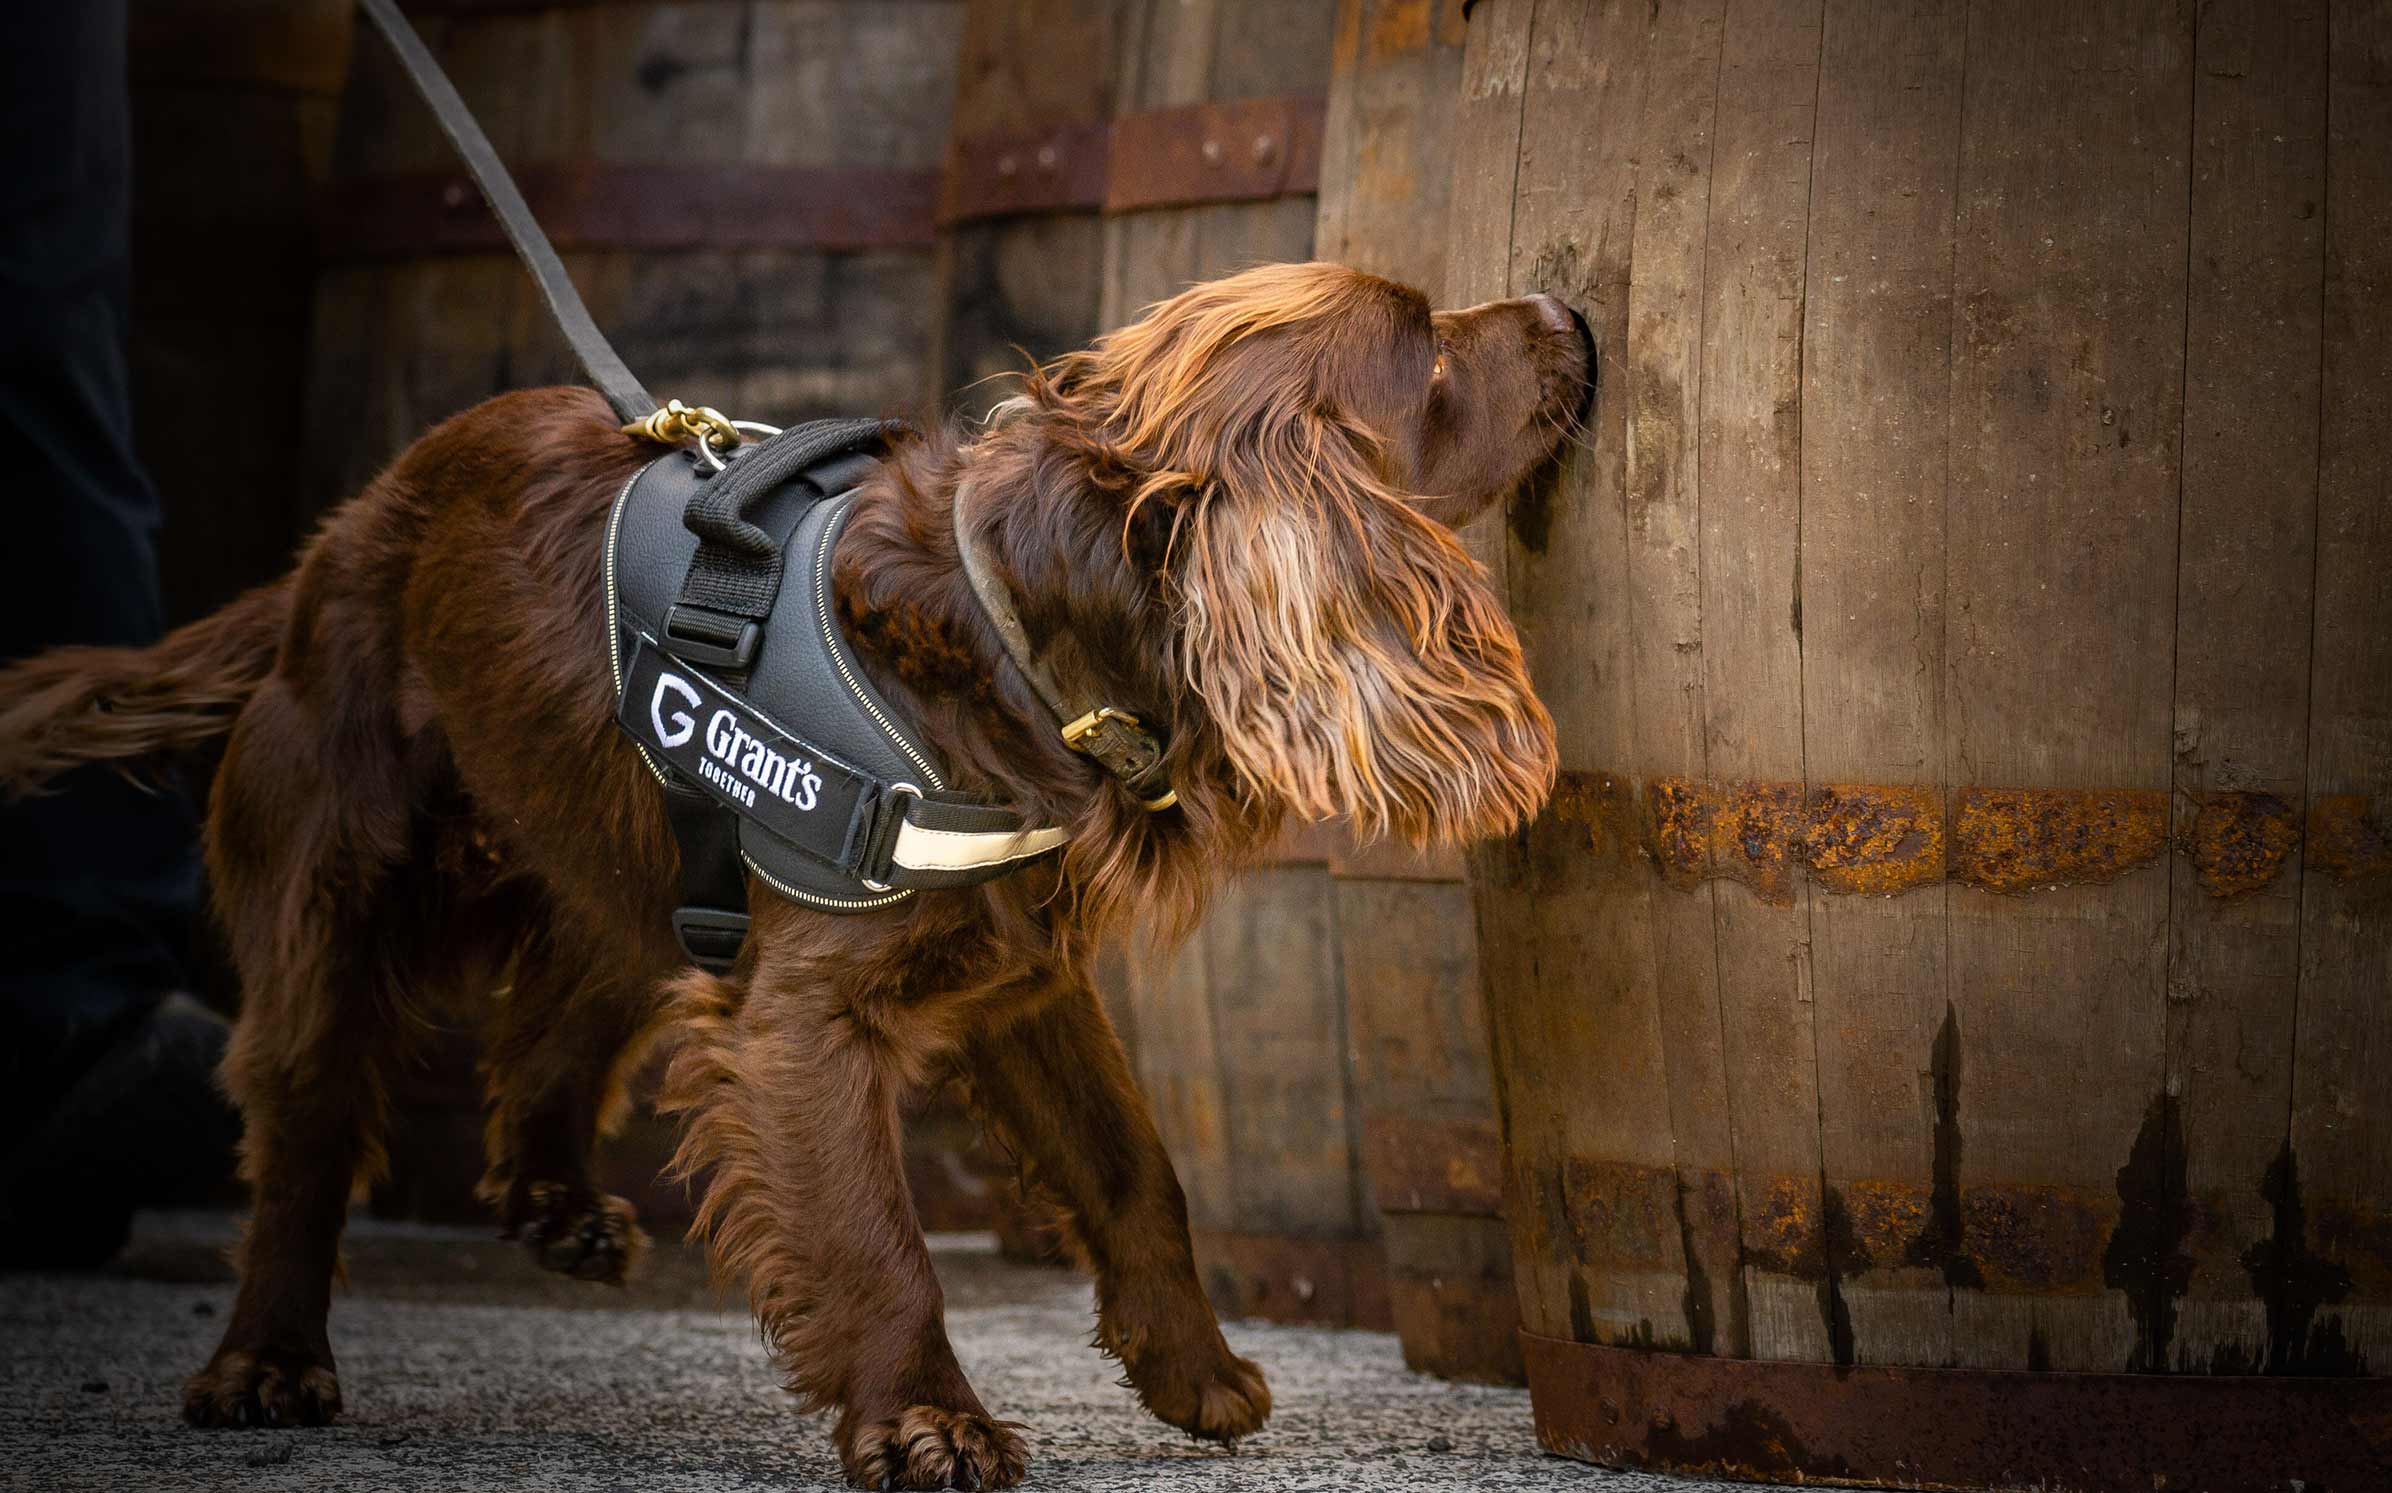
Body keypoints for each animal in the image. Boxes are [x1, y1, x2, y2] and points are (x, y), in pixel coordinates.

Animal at [4, 261, 1588, 1483]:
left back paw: (549, 1195)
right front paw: (928, 1423)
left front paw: (1189, 1368)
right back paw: (268, 1358)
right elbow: (877, 1236)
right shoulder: (810, 1012)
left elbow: (1138, 1168)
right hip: (336, 884)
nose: (1573, 311)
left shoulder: (1018, 971)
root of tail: (342, 534)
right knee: (310, 1120)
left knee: (572, 999)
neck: (1002, 623)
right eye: (1428, 351)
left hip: (630, 841)